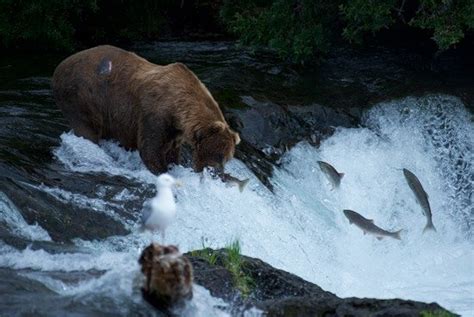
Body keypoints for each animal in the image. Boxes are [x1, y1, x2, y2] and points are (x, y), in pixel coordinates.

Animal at [51, 44, 241, 173]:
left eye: (227, 158)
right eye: (218, 155)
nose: (216, 173)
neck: (179, 109)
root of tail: (59, 66)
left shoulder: (175, 131)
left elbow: (171, 152)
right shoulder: (155, 114)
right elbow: (150, 150)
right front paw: (162, 170)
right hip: (82, 96)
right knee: (87, 129)